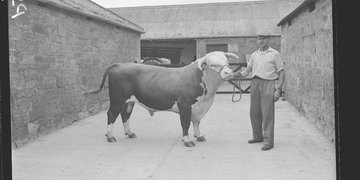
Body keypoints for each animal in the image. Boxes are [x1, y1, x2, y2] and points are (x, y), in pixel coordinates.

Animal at [86, 51, 239, 147]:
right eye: (212, 64)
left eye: (226, 61)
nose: (229, 73)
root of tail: (119, 64)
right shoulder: (184, 105)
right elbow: (185, 123)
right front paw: (187, 140)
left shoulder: (199, 107)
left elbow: (196, 122)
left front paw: (199, 135)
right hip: (117, 99)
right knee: (112, 114)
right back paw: (110, 136)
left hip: (128, 101)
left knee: (125, 115)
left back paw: (129, 133)